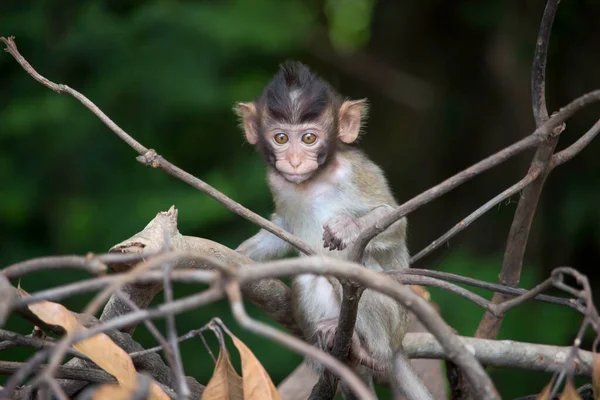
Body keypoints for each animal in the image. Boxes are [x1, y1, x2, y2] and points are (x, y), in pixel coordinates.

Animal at [237, 62, 410, 390]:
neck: (315, 180)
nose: (293, 161)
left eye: (308, 138)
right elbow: (282, 228)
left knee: (359, 269)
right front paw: (237, 257)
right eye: (281, 138)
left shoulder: (357, 171)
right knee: (310, 275)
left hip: (395, 325)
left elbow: (395, 222)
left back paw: (372, 354)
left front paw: (346, 227)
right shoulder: (278, 183)